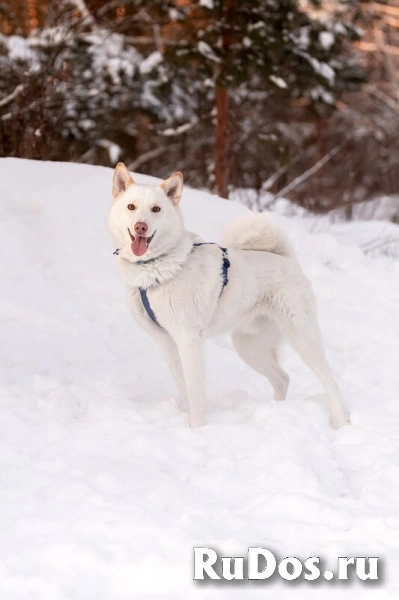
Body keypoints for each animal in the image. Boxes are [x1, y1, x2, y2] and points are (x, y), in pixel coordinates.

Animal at [108, 162, 350, 428]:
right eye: (131, 207)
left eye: (156, 209)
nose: (141, 227)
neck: (154, 268)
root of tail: (285, 258)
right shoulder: (166, 342)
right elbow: (184, 388)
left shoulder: (189, 340)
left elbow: (195, 394)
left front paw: (197, 430)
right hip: (249, 347)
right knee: (282, 378)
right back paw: (274, 412)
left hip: (302, 337)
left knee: (331, 383)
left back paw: (341, 424)